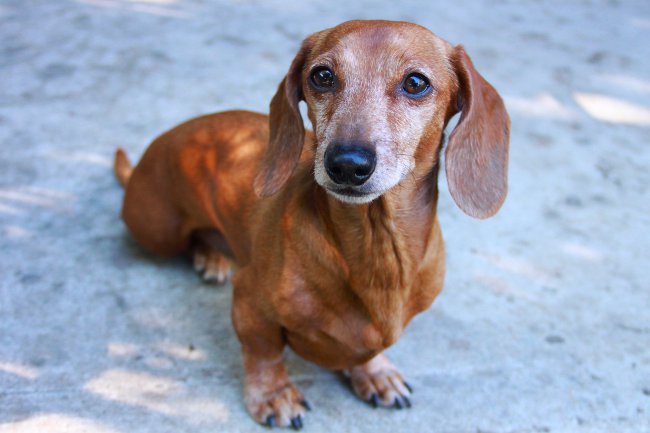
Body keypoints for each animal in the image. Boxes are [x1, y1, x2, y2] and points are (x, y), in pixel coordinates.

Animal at [112, 19, 506, 428]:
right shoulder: (250, 302)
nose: (347, 163)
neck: (377, 251)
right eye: (322, 75)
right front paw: (274, 395)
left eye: (416, 82)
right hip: (159, 231)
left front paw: (375, 372)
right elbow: (264, 352)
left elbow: (366, 353)